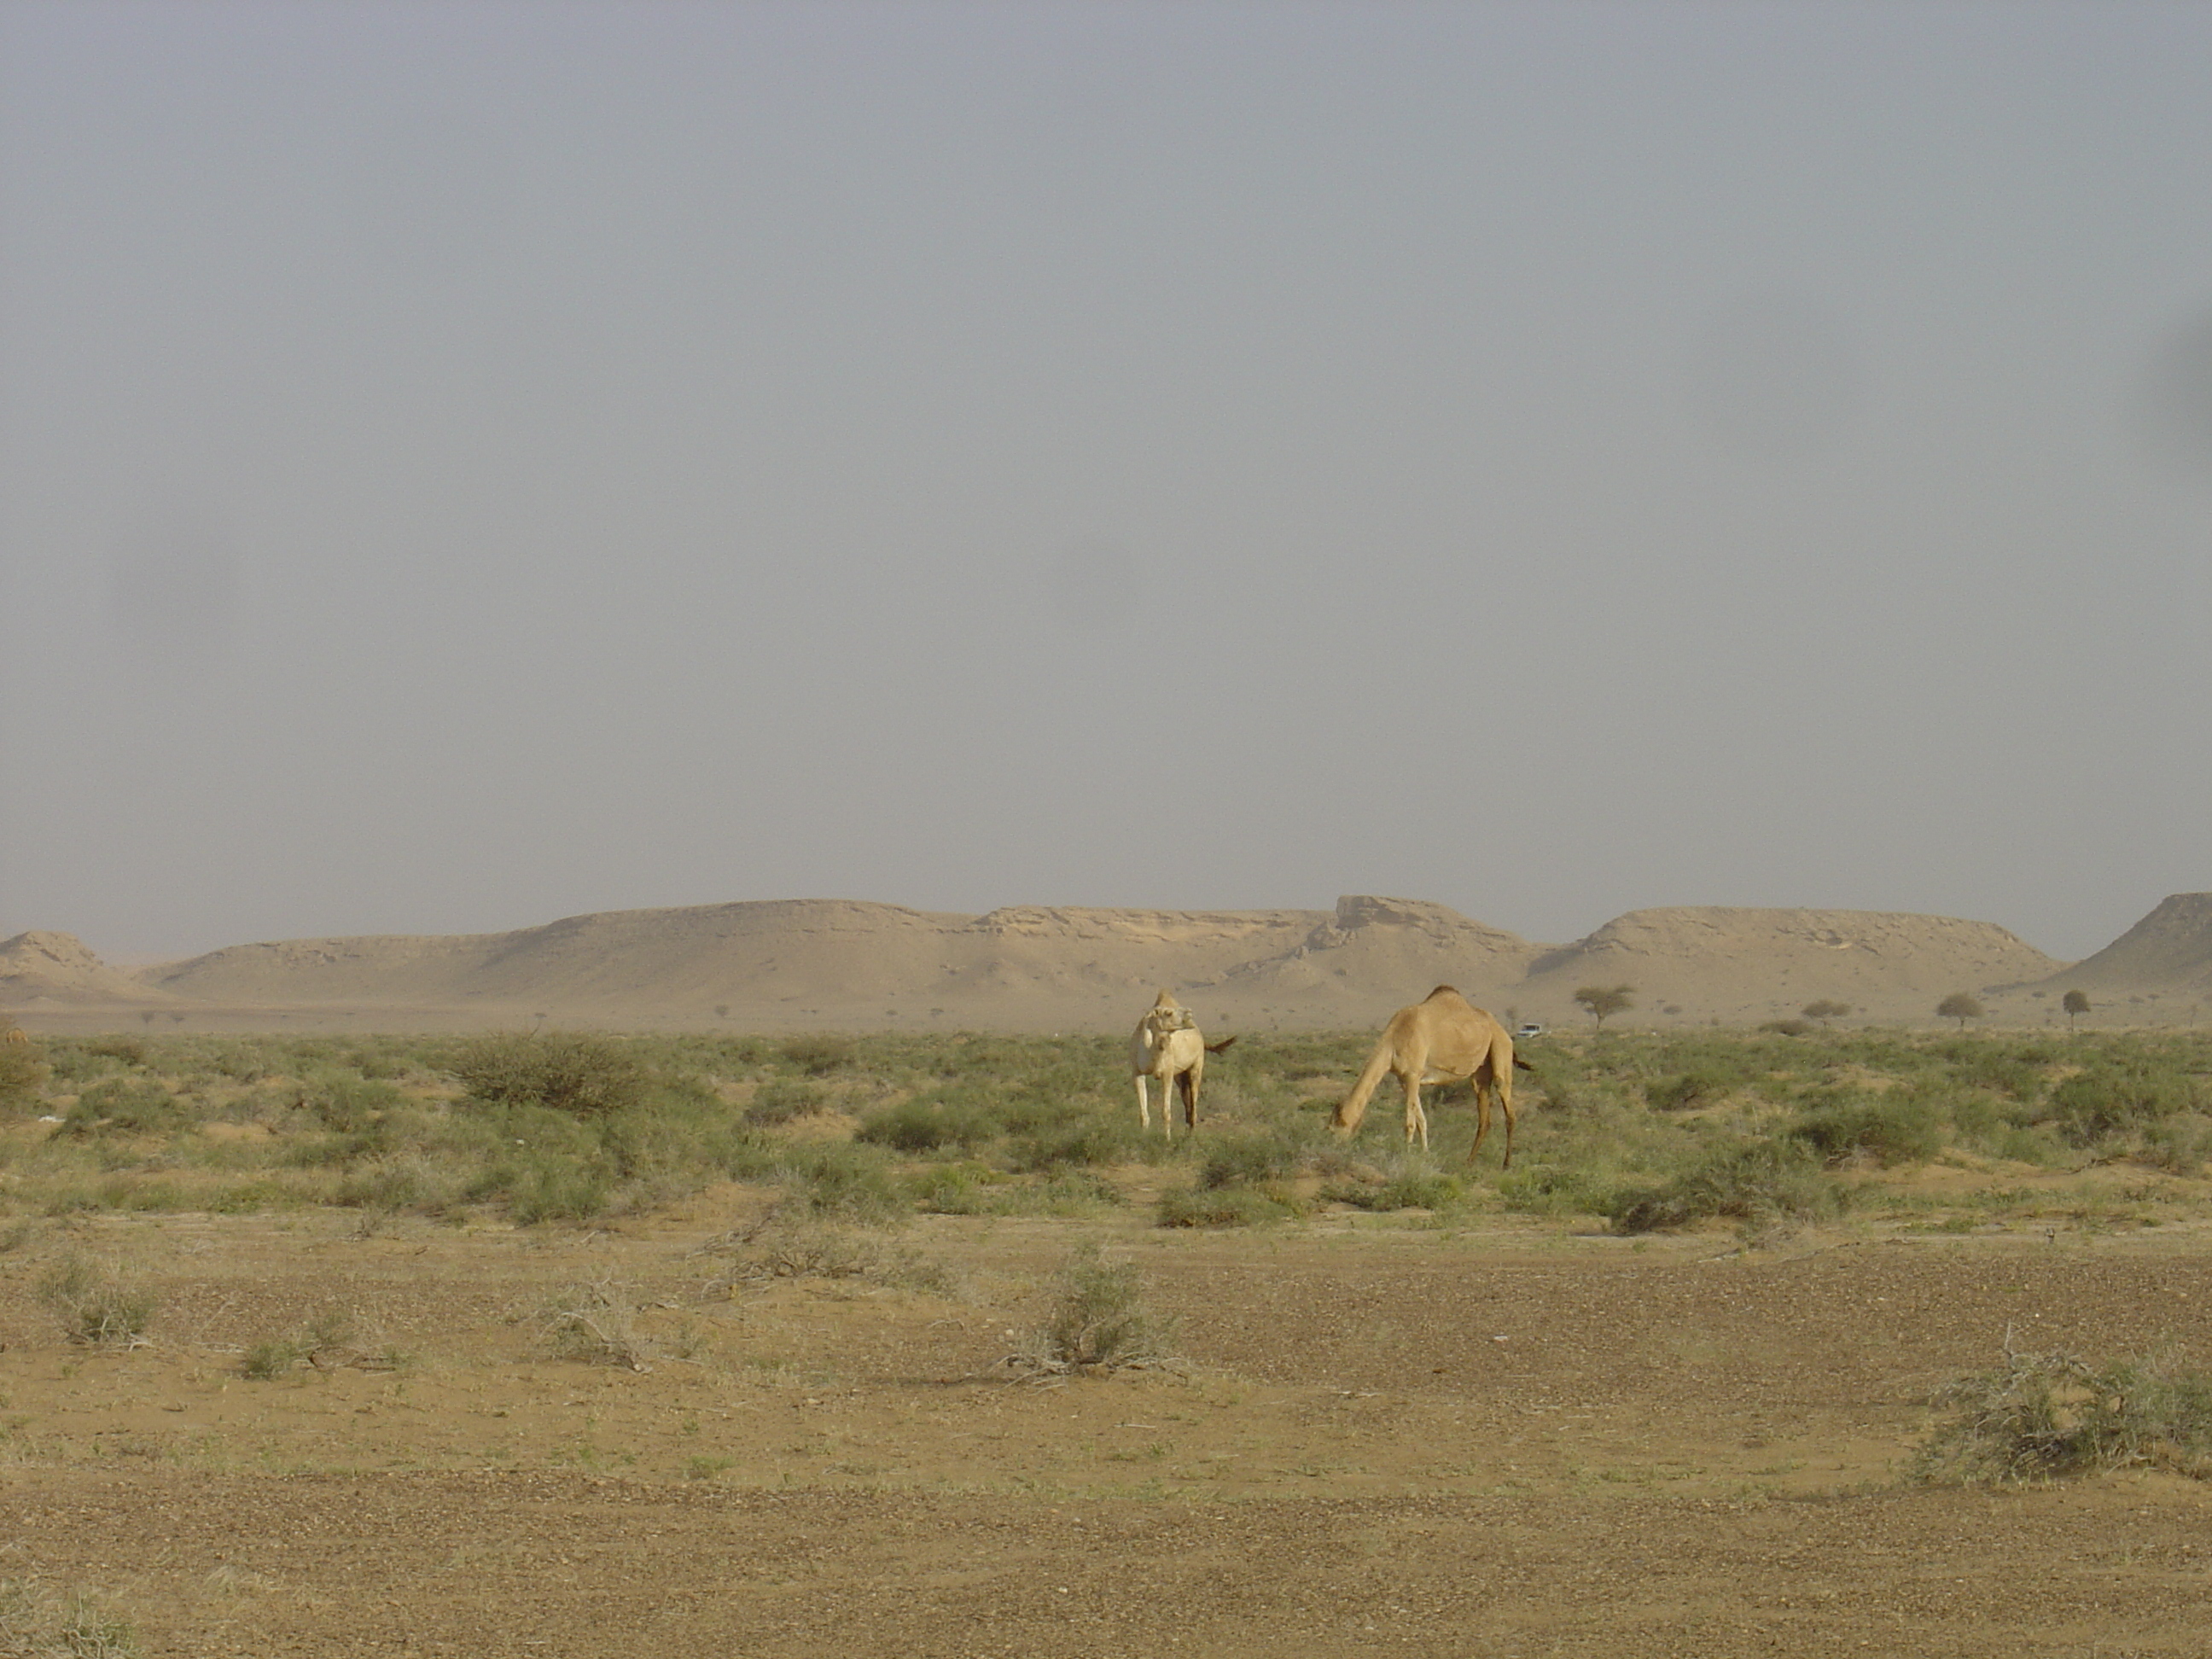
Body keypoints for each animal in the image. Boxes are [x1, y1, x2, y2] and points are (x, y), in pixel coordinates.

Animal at [1132, 995, 1238, 1141]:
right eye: (1168, 1013)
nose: (1189, 1013)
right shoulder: (1137, 1072)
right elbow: (1143, 1113)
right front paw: (1143, 1137)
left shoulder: (1167, 1073)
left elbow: (1166, 1111)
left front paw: (1167, 1139)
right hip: (1180, 1074)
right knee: (1187, 1102)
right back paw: (1187, 1133)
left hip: (1196, 1066)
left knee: (1193, 1104)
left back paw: (1191, 1136)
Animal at [1327, 987, 1522, 1167]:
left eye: (1334, 1127)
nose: (1332, 1146)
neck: (1393, 1040)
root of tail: (1503, 1031)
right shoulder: (1405, 1080)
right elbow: (1421, 1119)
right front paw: (1425, 1153)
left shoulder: (1413, 1074)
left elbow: (1409, 1122)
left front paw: (1406, 1154)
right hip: (1480, 1072)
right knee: (1484, 1118)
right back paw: (1469, 1161)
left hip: (1501, 1049)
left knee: (1509, 1110)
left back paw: (1506, 1164)